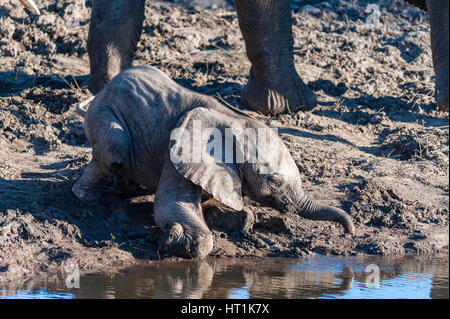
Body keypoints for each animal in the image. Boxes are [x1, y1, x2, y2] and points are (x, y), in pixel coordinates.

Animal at [74, 66, 356, 258]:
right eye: (274, 181)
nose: (350, 232)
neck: (237, 121)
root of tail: (101, 92)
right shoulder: (176, 152)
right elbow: (169, 204)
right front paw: (174, 239)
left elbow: (233, 209)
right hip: (104, 115)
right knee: (114, 147)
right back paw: (88, 198)